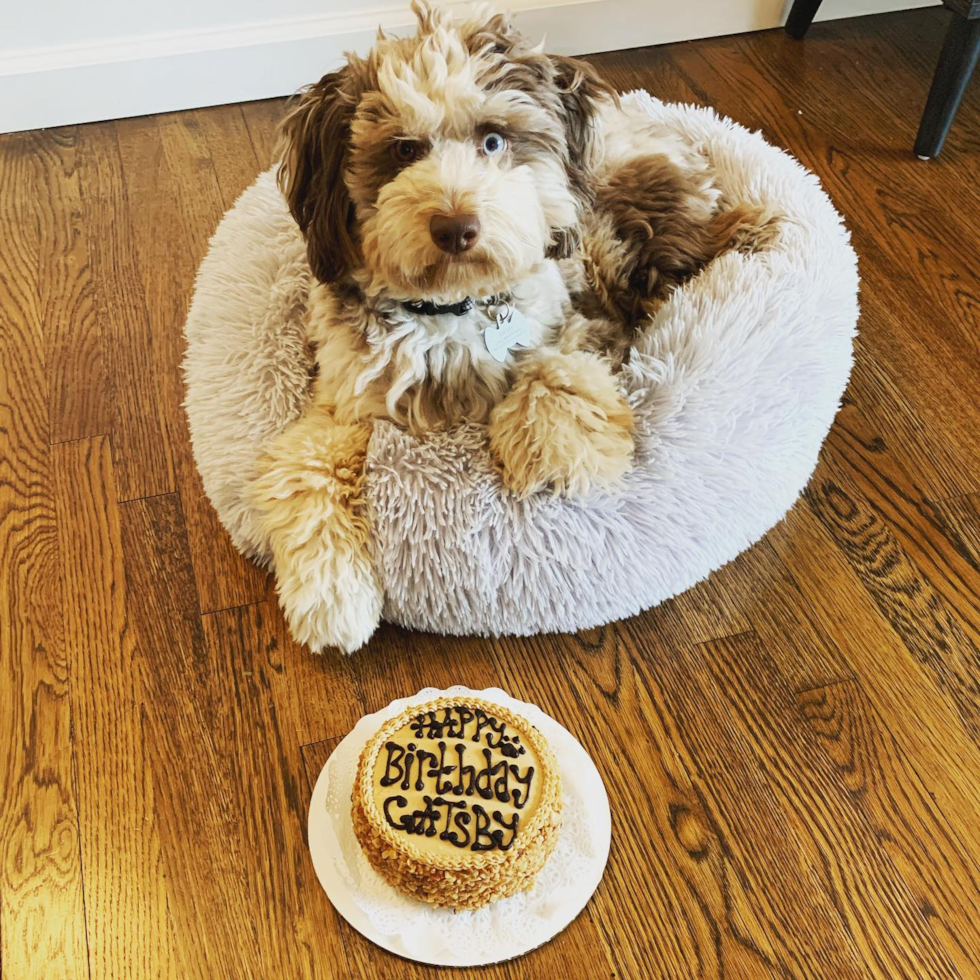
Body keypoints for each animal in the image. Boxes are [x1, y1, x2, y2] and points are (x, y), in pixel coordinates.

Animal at [251, 5, 764, 660]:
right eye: (403, 150)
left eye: (493, 140)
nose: (456, 226)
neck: (451, 310)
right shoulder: (349, 398)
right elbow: (304, 461)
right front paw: (330, 592)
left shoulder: (579, 317)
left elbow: (555, 369)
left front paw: (555, 451)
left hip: (615, 237)